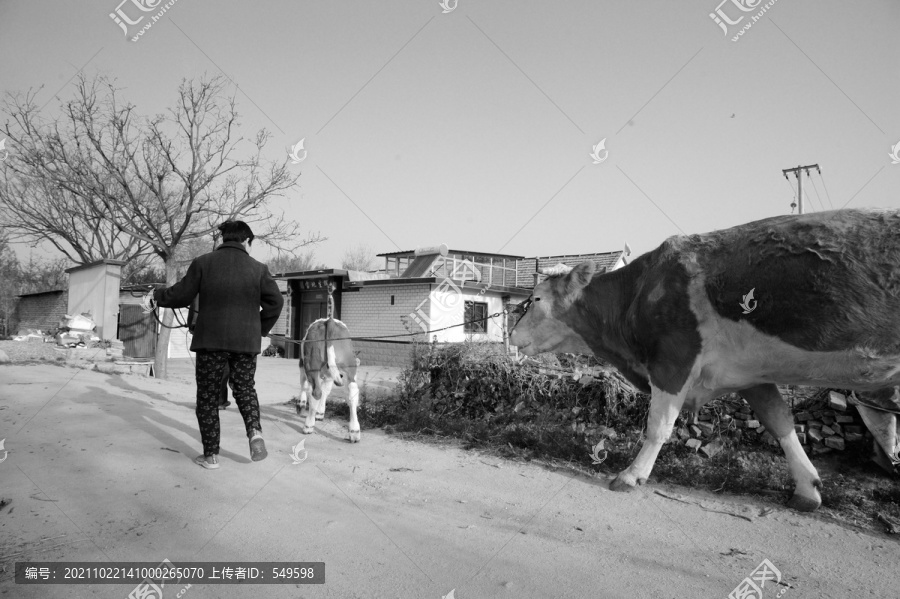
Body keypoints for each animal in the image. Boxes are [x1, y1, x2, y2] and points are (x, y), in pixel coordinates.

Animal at [510, 210, 900, 510]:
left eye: (537, 299)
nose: (512, 334)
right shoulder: (753, 376)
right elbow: (780, 422)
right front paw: (807, 489)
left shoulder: (673, 359)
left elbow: (658, 426)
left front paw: (631, 475)